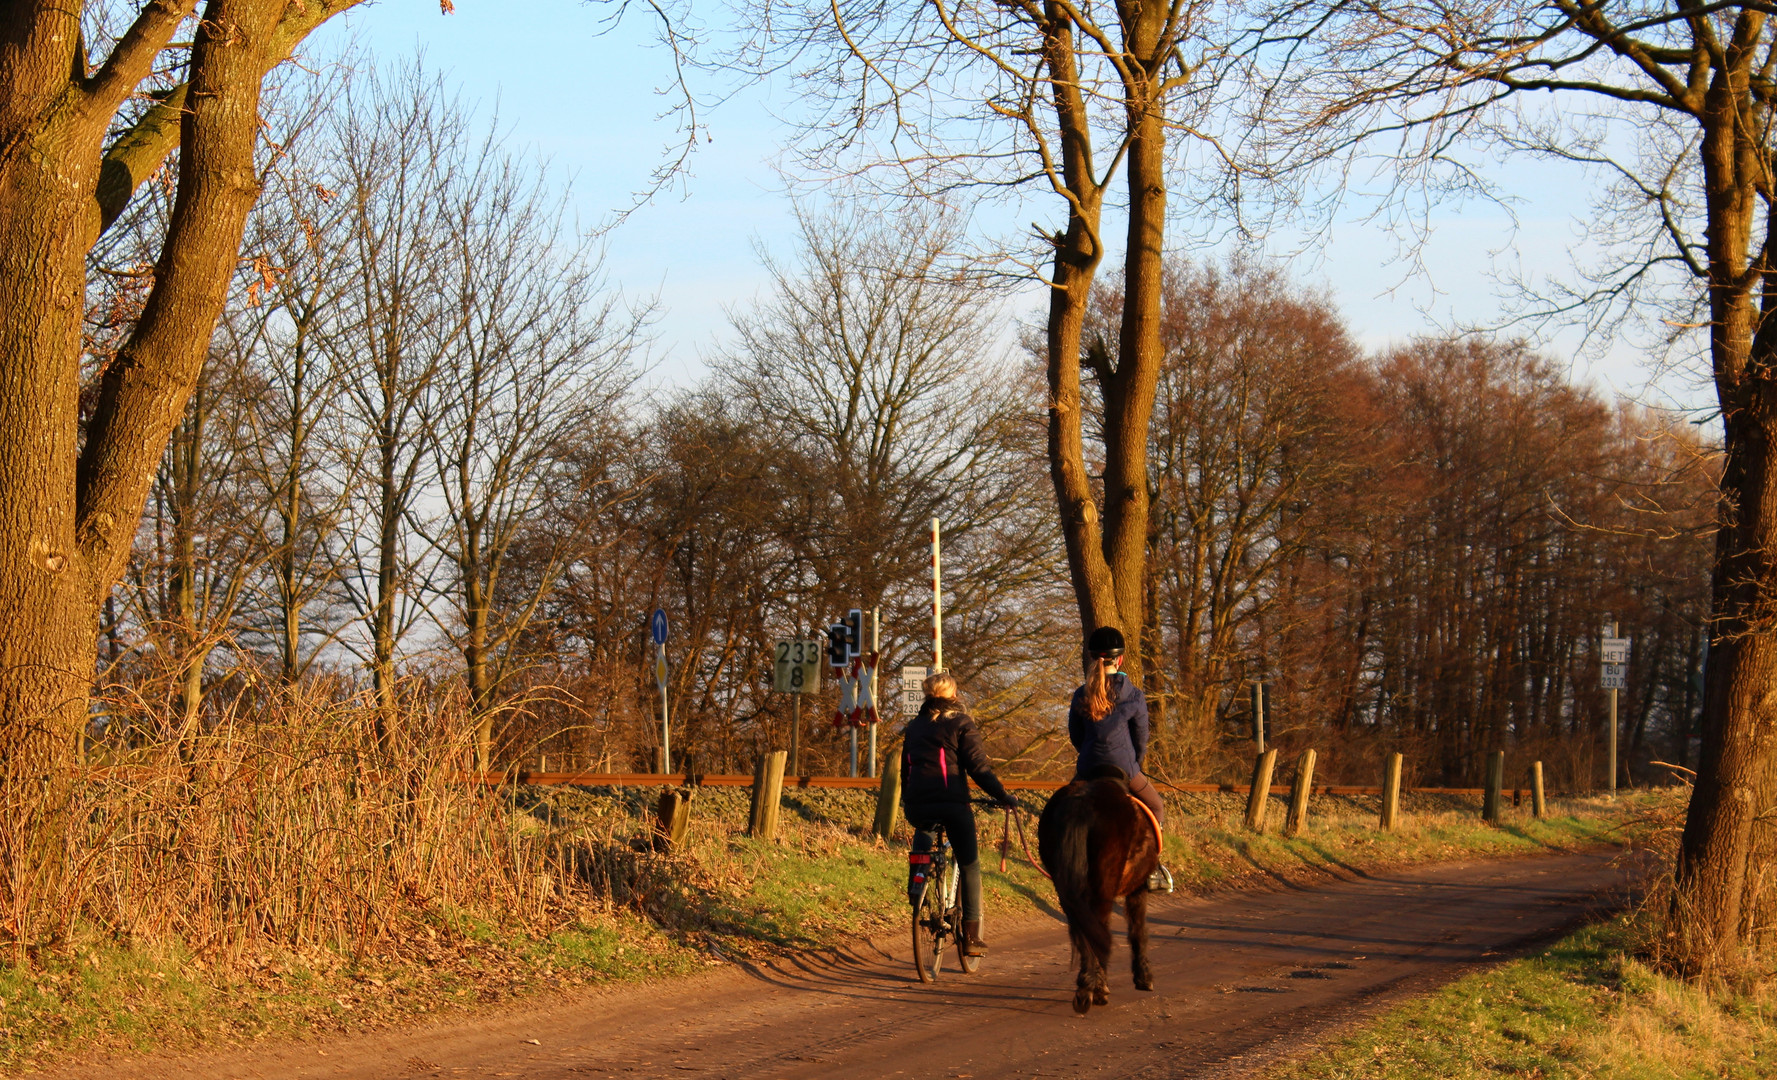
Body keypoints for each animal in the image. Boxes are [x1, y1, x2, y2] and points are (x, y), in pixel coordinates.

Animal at [1037, 763, 1158, 1016]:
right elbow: (1138, 928)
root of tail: (1082, 799)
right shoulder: (1138, 888)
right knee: (1100, 928)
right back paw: (1097, 990)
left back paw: (1086, 987)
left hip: (1067, 889)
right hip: (1103, 885)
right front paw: (1144, 977)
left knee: (1083, 929)